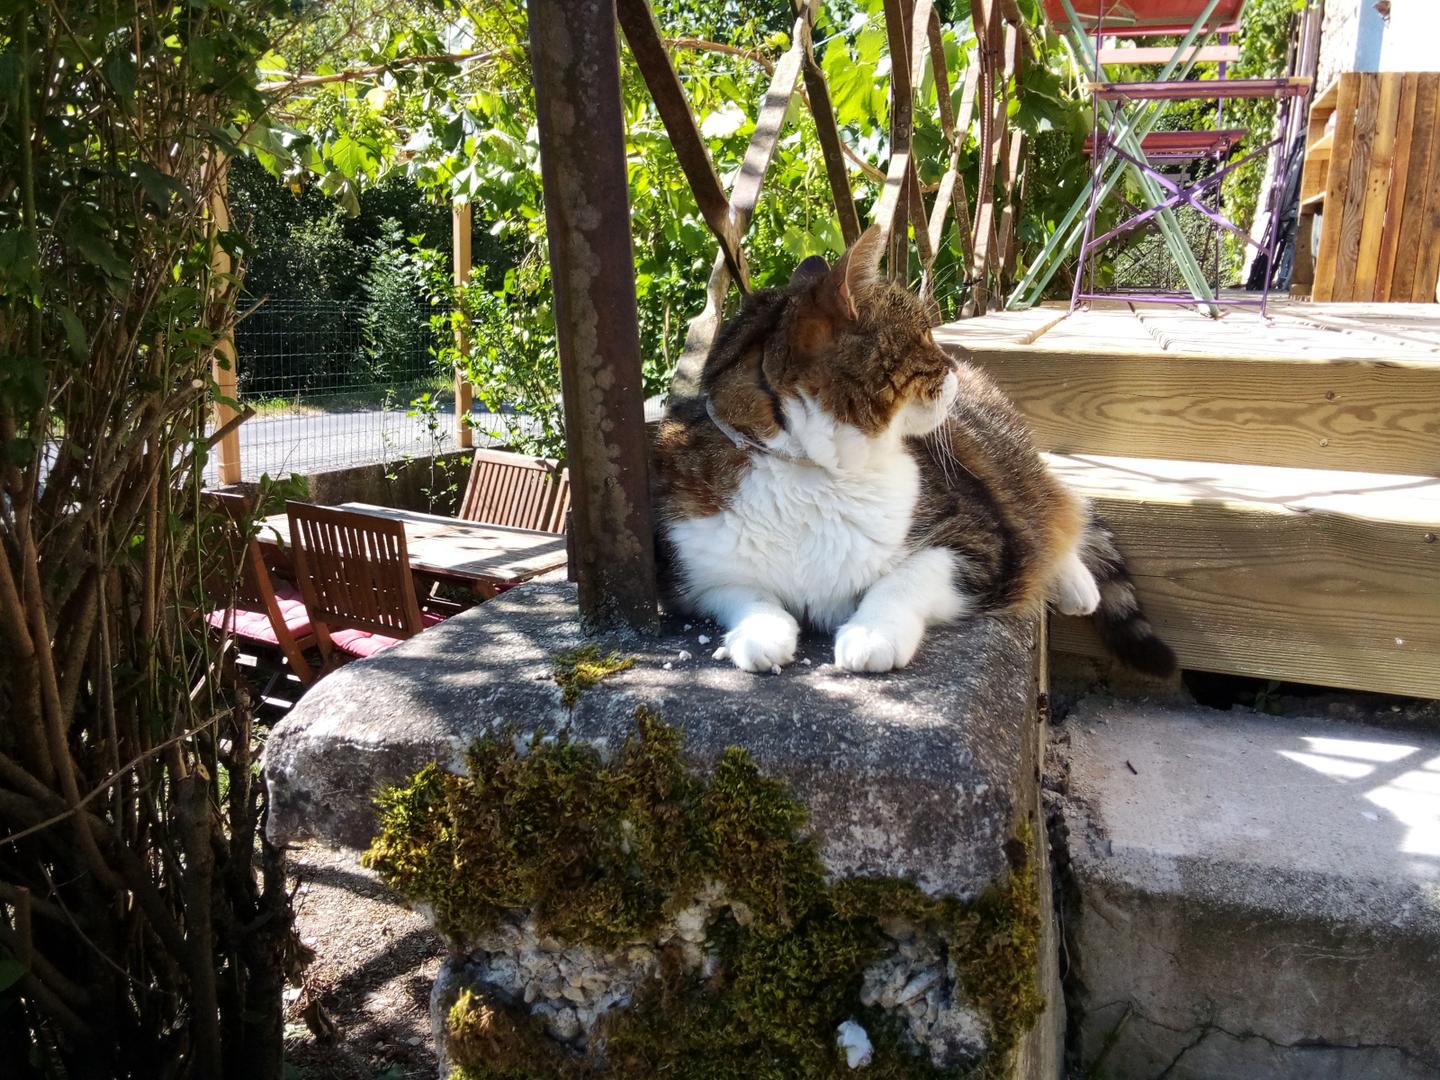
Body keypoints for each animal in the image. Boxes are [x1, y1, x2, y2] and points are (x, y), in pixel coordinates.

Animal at [648, 224, 1175, 679]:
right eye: (922, 335)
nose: (955, 366)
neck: (814, 472)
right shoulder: (696, 573)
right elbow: (746, 595)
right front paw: (759, 635)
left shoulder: (979, 541)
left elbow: (904, 579)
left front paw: (869, 634)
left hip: (1013, 468)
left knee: (1056, 510)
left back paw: (1076, 583)